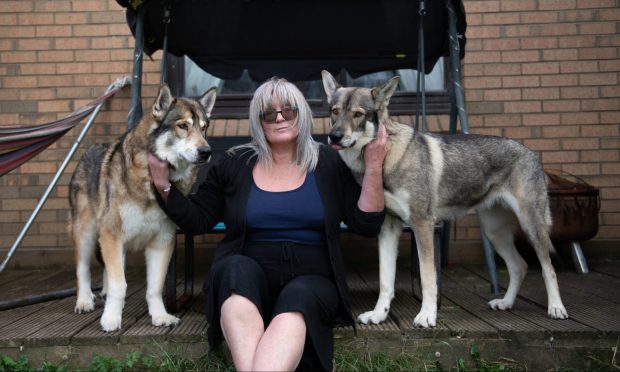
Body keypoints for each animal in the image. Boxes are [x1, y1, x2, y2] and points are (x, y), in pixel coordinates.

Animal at [68, 84, 216, 332]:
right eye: (183, 126)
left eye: (204, 128)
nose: (206, 152)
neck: (151, 183)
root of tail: (90, 150)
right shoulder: (112, 235)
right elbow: (120, 285)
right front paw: (111, 319)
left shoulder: (162, 241)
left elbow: (154, 288)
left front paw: (160, 317)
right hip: (87, 234)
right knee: (82, 269)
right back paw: (84, 301)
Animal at [322, 70, 568, 328]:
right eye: (335, 111)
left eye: (358, 114)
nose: (334, 136)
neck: (384, 159)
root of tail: (531, 152)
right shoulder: (388, 228)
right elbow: (385, 281)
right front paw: (379, 314)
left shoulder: (422, 225)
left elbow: (428, 278)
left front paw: (427, 315)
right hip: (495, 233)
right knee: (520, 266)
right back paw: (505, 303)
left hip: (531, 226)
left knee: (547, 268)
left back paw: (556, 308)